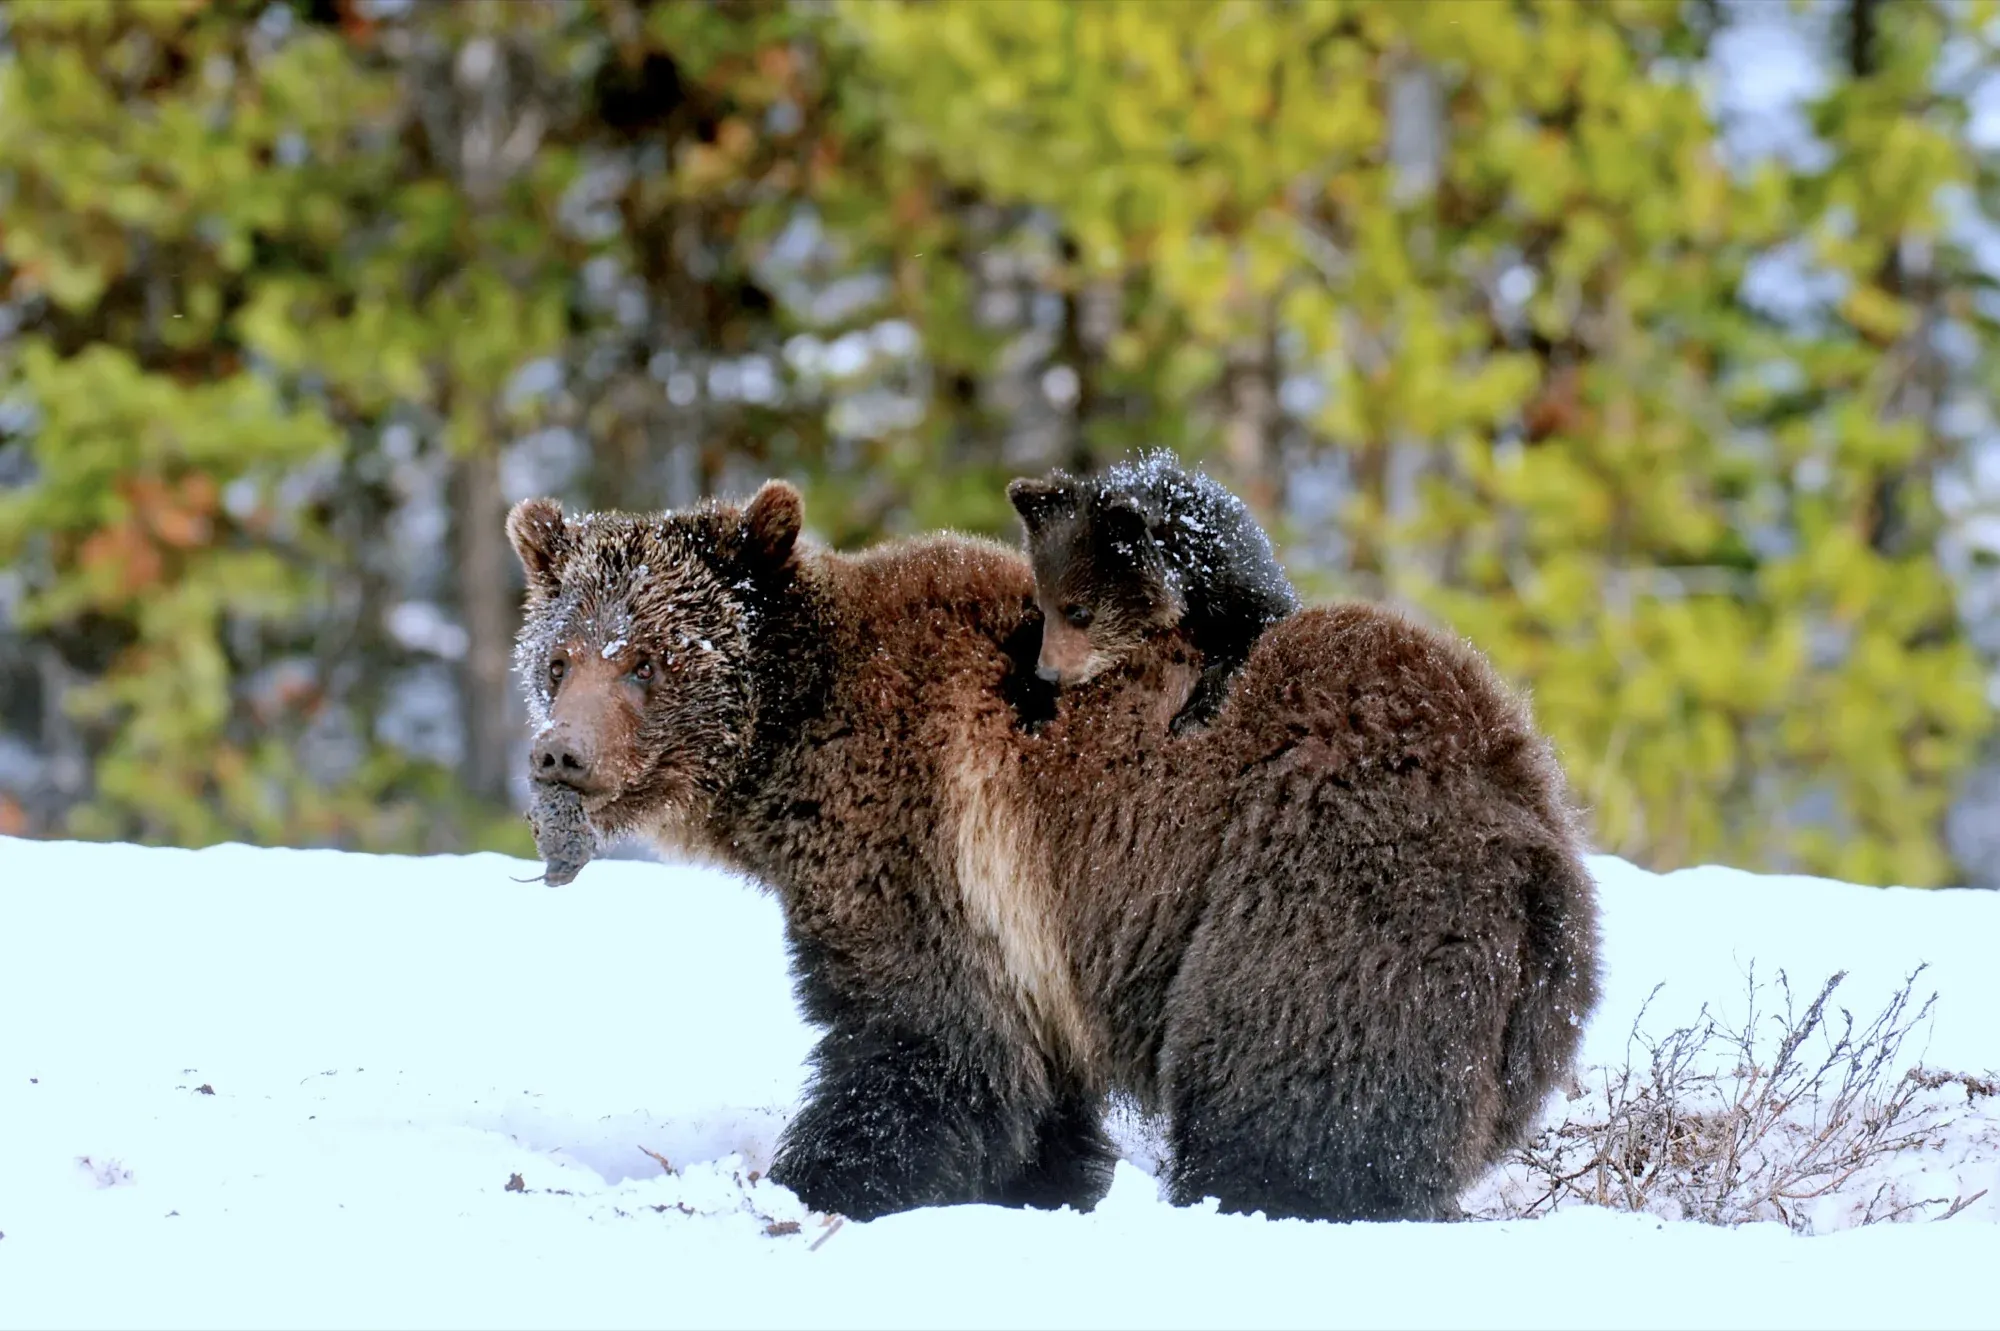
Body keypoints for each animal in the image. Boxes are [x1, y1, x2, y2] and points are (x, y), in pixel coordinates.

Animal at [1005, 454, 1299, 733]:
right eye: (1043, 607)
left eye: (1079, 611)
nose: (1047, 673)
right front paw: (1034, 708)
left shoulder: (1238, 587)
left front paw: (1191, 718)